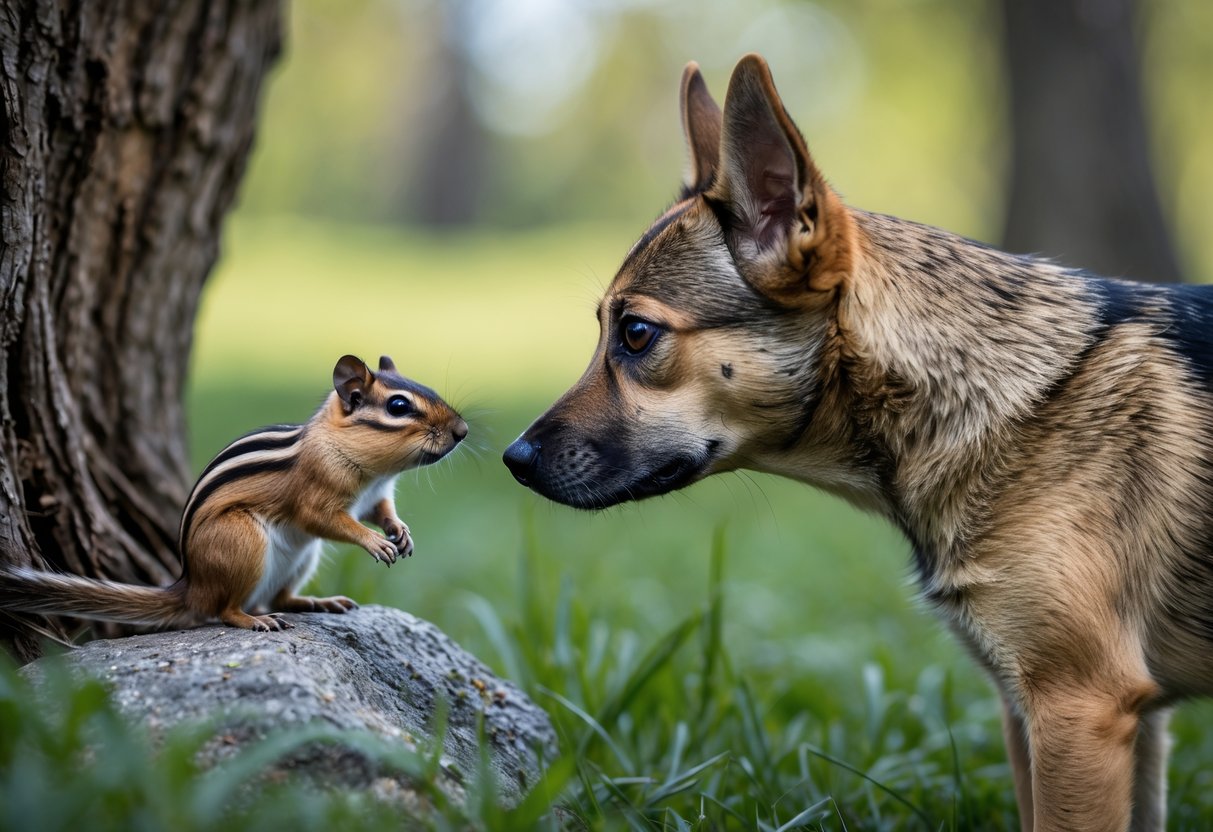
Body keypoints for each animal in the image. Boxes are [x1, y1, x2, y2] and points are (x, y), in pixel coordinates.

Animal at [0, 354, 467, 632]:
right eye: (399, 406)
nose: (462, 431)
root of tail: (191, 585)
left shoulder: (375, 494)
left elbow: (381, 511)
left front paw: (399, 532)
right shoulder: (315, 492)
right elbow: (327, 520)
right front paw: (374, 542)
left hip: (301, 558)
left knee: (279, 597)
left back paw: (318, 602)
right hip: (243, 541)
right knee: (225, 610)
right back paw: (254, 621)